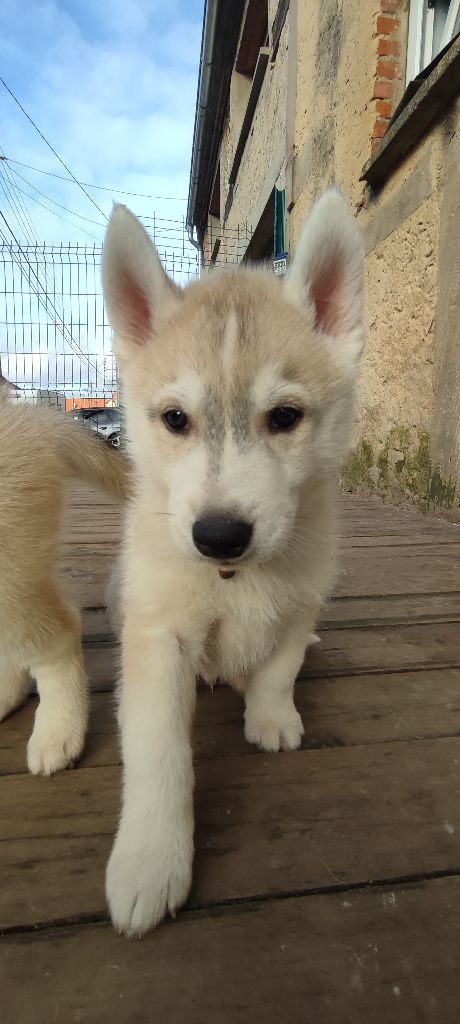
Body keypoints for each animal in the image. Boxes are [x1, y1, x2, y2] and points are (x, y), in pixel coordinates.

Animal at [101, 187, 365, 936]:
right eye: (175, 420)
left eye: (284, 417)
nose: (219, 536)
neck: (234, 580)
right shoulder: (158, 635)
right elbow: (158, 752)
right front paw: (149, 860)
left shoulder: (303, 599)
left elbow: (280, 664)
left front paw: (270, 717)